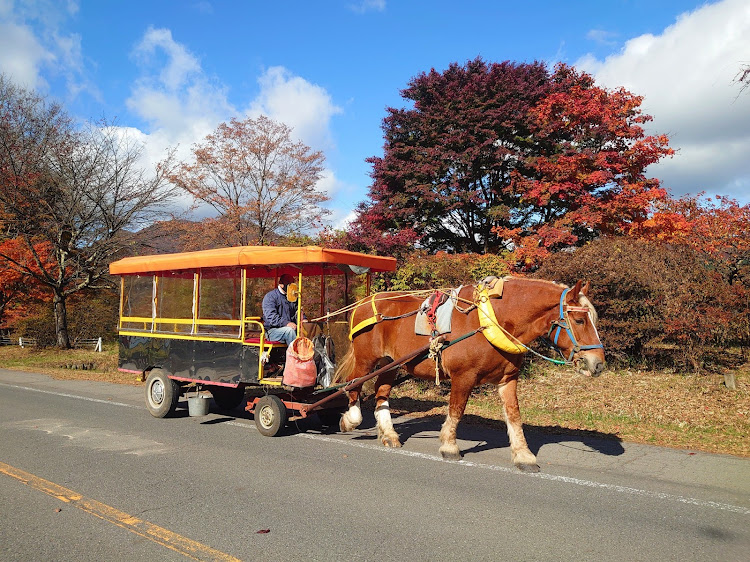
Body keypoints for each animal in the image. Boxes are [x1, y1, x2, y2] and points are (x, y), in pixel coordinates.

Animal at [338, 278, 608, 470]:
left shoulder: (508, 380)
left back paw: (389, 434)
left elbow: (514, 416)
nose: (598, 364)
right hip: (367, 359)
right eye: (579, 320)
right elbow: (456, 410)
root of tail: (365, 301)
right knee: (353, 385)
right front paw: (449, 446)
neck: (493, 321)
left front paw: (523, 455)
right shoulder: (463, 377)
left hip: (390, 364)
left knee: (381, 393)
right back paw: (351, 420)